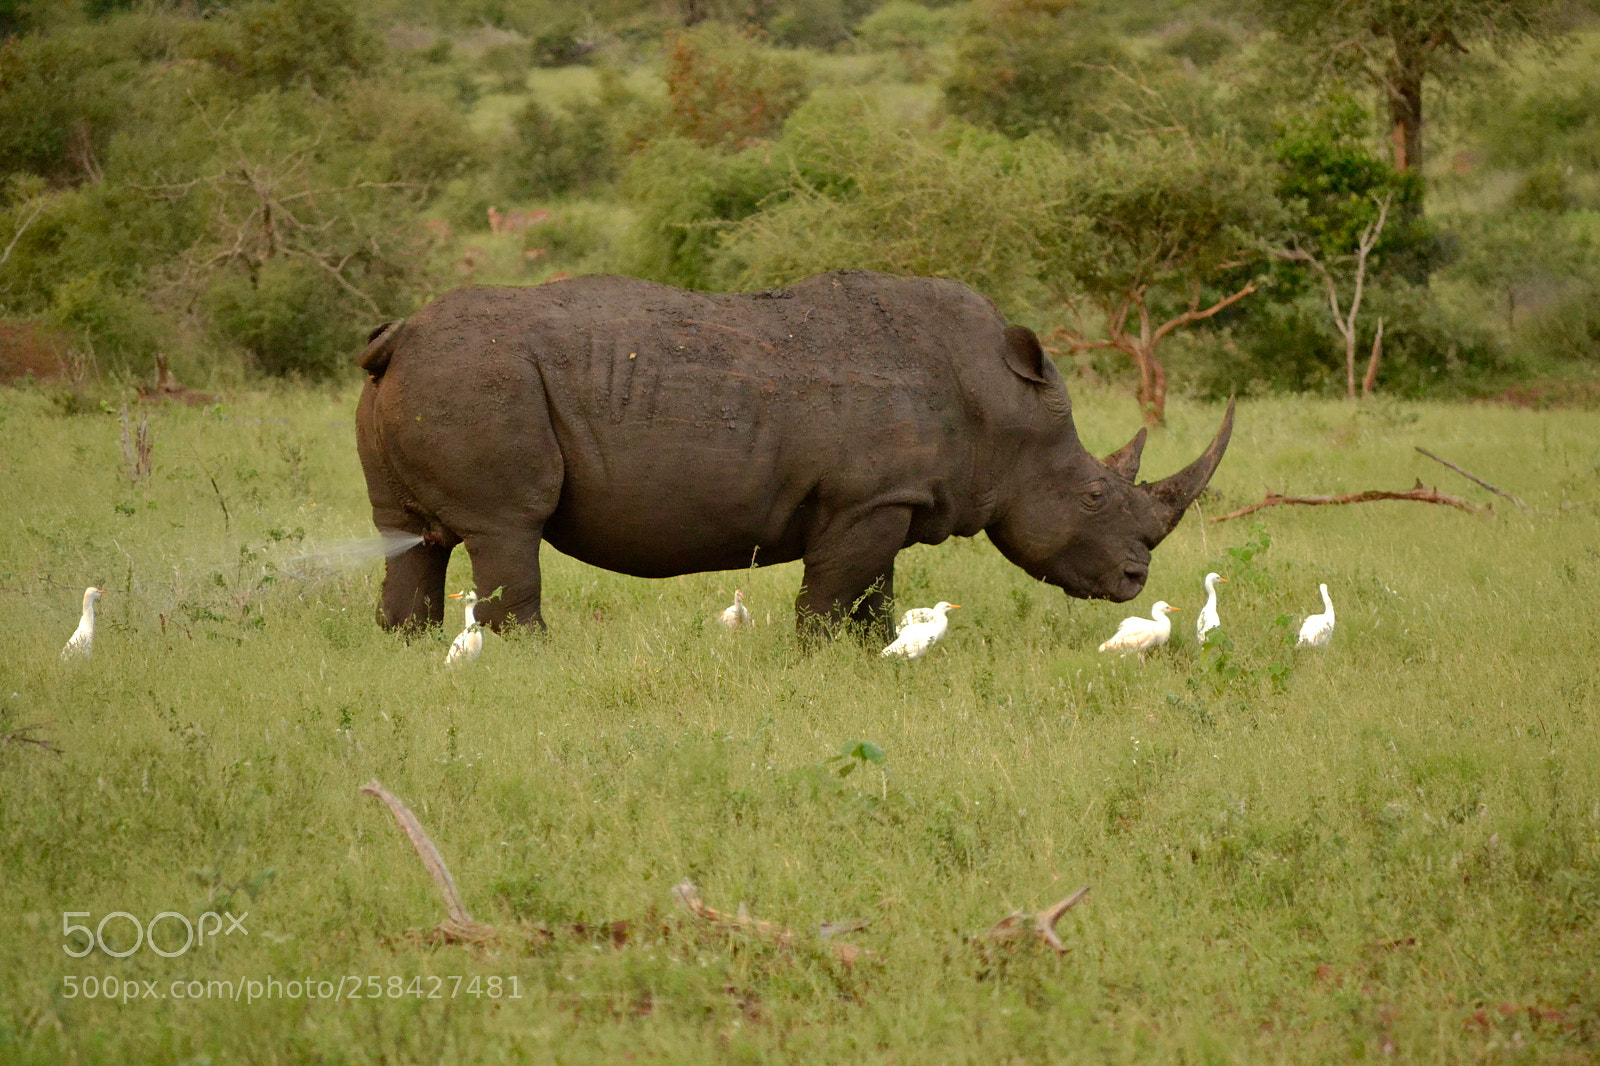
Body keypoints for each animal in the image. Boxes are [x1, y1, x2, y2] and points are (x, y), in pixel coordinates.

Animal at [354, 270, 1234, 637]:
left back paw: (407, 644)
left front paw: (876, 654)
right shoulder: (868, 499)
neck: (1000, 407)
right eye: (1093, 496)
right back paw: (536, 656)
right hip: (482, 379)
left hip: (426, 381)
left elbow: (874, 596)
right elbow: (834, 597)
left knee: (410, 536)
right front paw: (821, 660)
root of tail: (398, 338)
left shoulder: (889, 501)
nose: (1136, 578)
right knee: (509, 527)